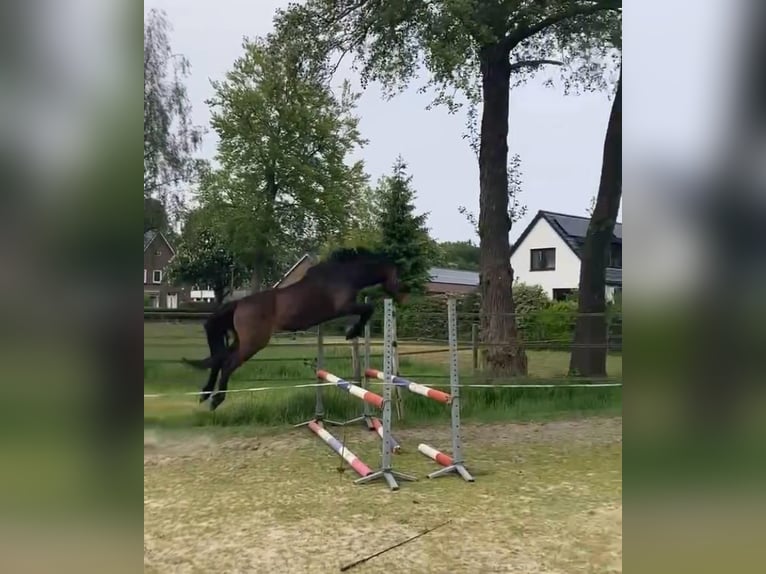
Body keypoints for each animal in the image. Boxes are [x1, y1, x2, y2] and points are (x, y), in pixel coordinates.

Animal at [184, 250, 408, 412]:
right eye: (397, 276)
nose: (403, 298)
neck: (345, 274)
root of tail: (239, 304)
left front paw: (352, 331)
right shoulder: (344, 307)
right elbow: (367, 310)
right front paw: (352, 332)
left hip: (241, 340)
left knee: (220, 359)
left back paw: (205, 394)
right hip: (253, 343)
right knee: (228, 363)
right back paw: (216, 400)